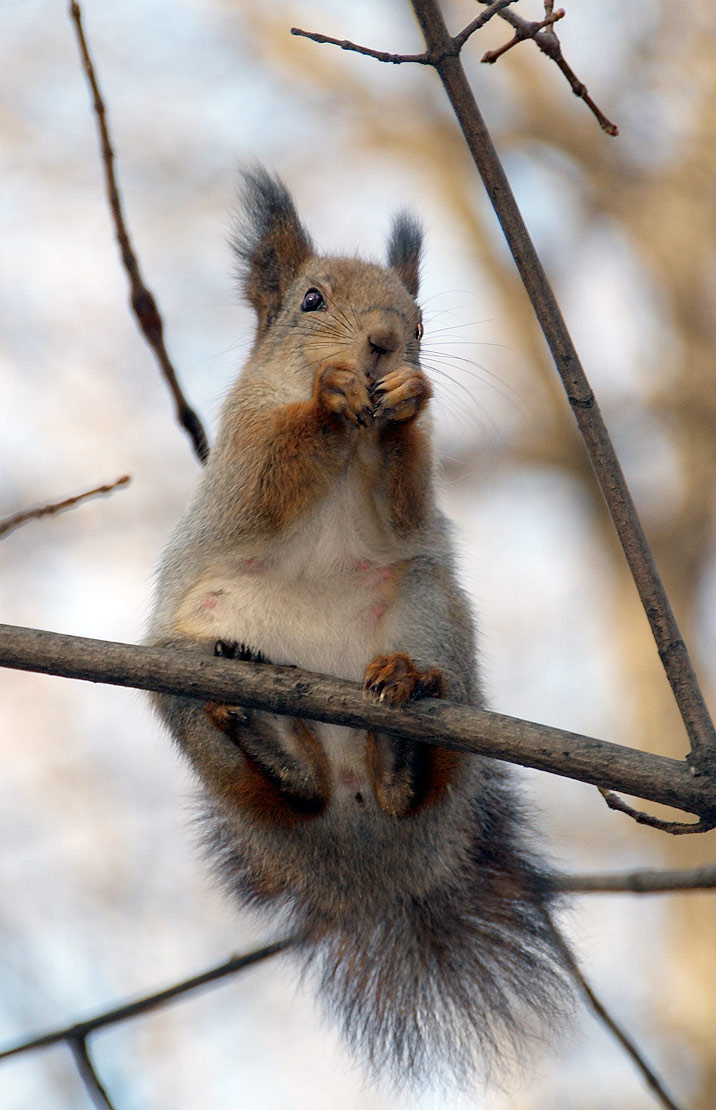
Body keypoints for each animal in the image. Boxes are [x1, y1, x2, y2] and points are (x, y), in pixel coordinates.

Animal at [147, 166, 570, 1089]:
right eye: (311, 301)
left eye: (419, 321)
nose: (382, 344)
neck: (352, 441)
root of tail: (368, 872)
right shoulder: (239, 452)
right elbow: (272, 470)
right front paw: (329, 396)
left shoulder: (406, 507)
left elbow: (404, 500)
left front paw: (407, 403)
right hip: (177, 674)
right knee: (289, 790)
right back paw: (274, 744)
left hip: (431, 614)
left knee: (411, 781)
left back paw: (399, 738)